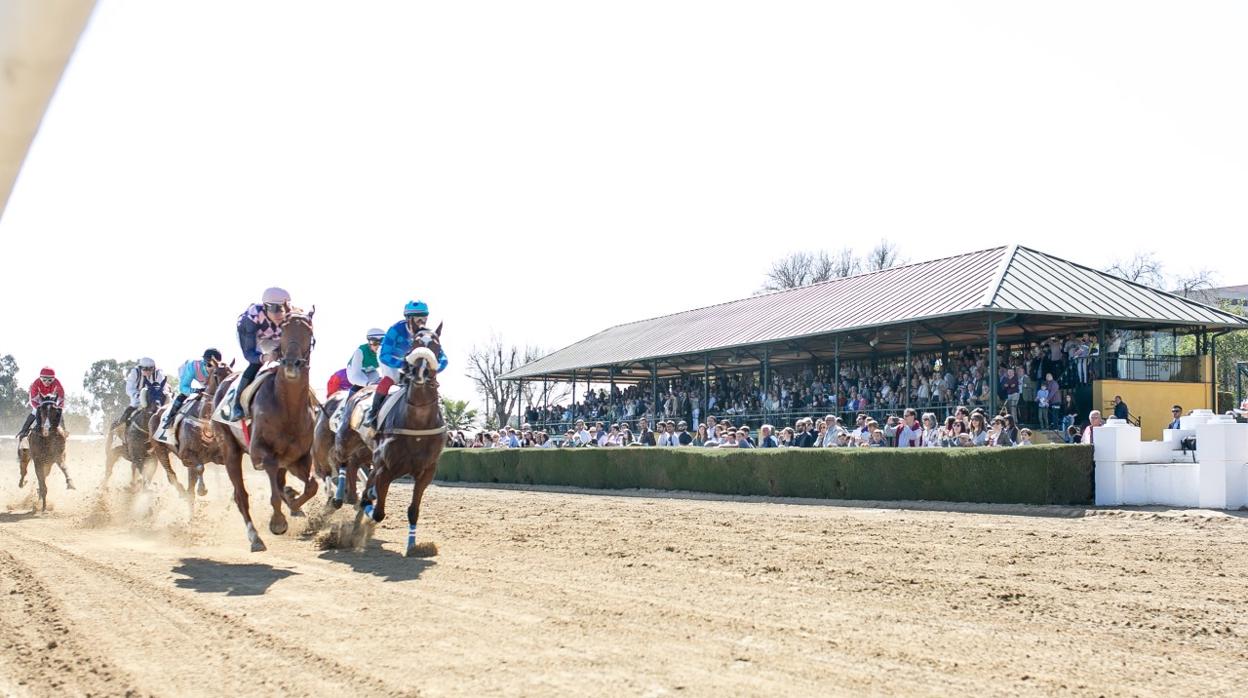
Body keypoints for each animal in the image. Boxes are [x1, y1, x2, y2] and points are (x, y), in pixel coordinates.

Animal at [149, 359, 234, 509]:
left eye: (232, 372)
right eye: (217, 374)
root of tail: (156, 412)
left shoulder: (219, 457)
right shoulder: (186, 456)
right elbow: (200, 468)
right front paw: (202, 489)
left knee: (188, 487)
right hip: (160, 449)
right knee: (171, 475)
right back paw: (183, 493)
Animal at [215, 309, 318, 552]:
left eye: (308, 331)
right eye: (284, 330)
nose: (290, 364)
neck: (288, 407)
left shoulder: (298, 457)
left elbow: (312, 486)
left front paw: (294, 503)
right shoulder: (261, 453)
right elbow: (274, 493)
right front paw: (278, 522)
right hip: (230, 450)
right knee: (240, 495)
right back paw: (255, 538)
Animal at [356, 323, 446, 557]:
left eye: (436, 346)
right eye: (414, 343)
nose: (421, 371)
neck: (418, 423)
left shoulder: (426, 472)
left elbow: (414, 510)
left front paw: (413, 546)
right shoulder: (386, 468)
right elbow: (377, 512)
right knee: (368, 492)